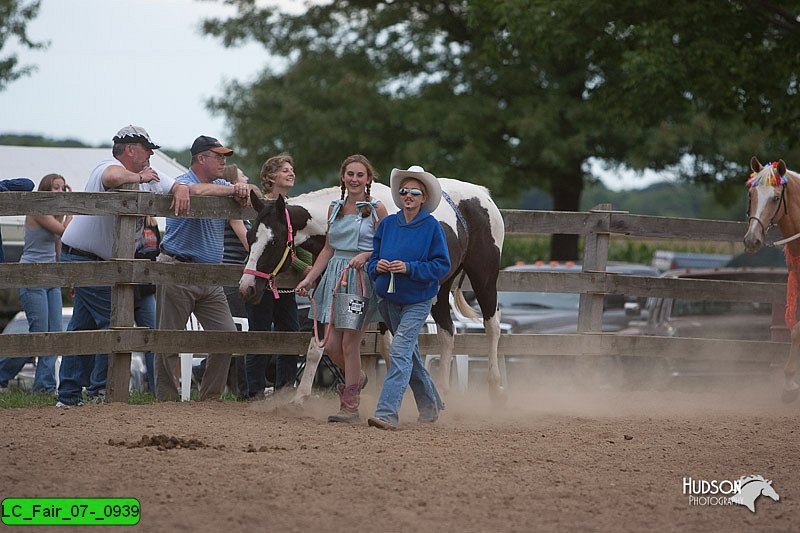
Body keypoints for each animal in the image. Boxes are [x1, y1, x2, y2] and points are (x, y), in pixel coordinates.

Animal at [236, 180, 506, 404]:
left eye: (273, 241)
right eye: (250, 236)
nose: (246, 288)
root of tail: (482, 194)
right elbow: (319, 347)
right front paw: (300, 397)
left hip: (484, 275)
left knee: (492, 325)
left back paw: (495, 388)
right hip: (441, 288)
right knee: (447, 332)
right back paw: (442, 389)